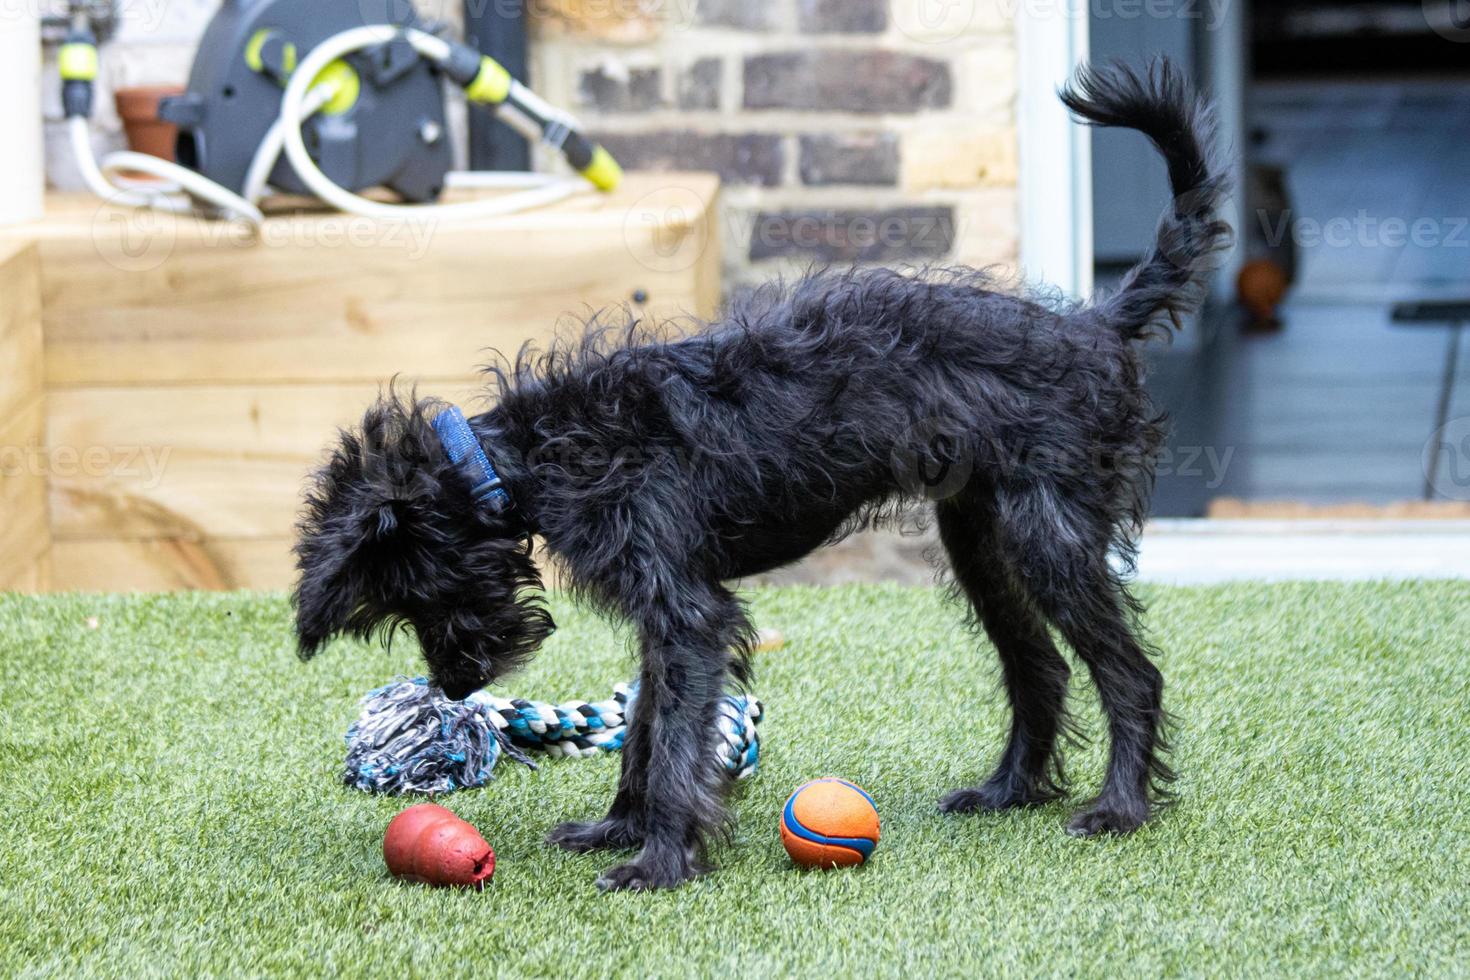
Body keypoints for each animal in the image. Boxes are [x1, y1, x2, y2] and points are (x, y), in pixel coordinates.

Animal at [289, 59, 1228, 887]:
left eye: (414, 591)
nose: (454, 685)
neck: (521, 453)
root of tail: (1097, 325)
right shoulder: (667, 617)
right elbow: (646, 726)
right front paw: (618, 828)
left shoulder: (687, 611)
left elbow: (673, 741)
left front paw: (661, 861)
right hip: (984, 544)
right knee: (1043, 669)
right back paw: (1008, 792)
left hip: (1048, 539)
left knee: (1131, 674)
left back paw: (1121, 807)